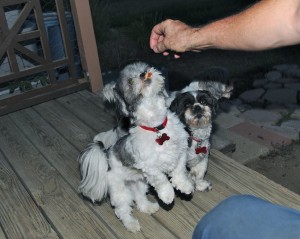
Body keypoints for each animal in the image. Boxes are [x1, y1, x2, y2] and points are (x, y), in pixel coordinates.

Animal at [78, 61, 193, 232]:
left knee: (139, 198)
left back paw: (148, 207)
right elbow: (161, 180)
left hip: (139, 184)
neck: (157, 128)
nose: (143, 74)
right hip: (121, 192)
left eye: (144, 68)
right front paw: (167, 195)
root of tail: (105, 156)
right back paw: (131, 224)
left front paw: (184, 186)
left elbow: (179, 171)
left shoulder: (180, 151)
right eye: (130, 81)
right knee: (122, 210)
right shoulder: (150, 167)